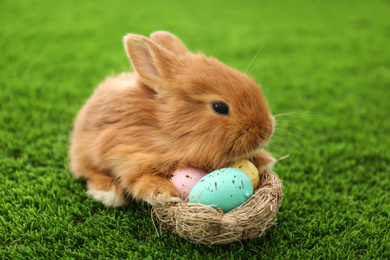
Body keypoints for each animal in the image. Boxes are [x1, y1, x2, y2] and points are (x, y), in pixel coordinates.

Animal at [71, 31, 278, 207]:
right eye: (220, 107)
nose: (267, 131)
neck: (169, 129)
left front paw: (265, 160)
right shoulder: (127, 154)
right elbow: (140, 177)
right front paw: (163, 194)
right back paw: (109, 193)